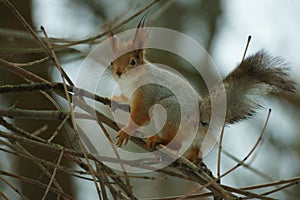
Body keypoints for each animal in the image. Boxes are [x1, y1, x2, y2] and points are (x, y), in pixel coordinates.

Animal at [108, 16, 296, 161]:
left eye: (133, 61)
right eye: (111, 61)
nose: (118, 72)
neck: (130, 83)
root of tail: (201, 120)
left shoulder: (148, 92)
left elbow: (140, 116)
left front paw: (126, 131)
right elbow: (126, 101)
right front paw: (115, 100)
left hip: (170, 110)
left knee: (175, 142)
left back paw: (161, 141)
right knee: (193, 149)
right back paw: (191, 159)